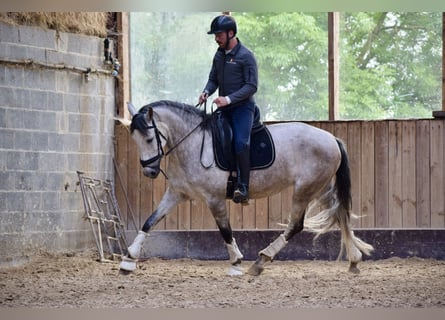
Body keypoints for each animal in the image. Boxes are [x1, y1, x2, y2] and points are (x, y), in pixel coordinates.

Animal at [116, 100, 372, 276]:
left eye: (150, 139)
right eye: (136, 141)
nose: (149, 172)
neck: (192, 144)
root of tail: (331, 138)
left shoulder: (214, 198)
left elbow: (225, 230)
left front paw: (237, 262)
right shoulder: (176, 194)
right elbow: (150, 221)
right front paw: (128, 260)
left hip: (305, 189)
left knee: (296, 225)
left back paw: (261, 261)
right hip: (320, 188)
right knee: (341, 214)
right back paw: (354, 260)